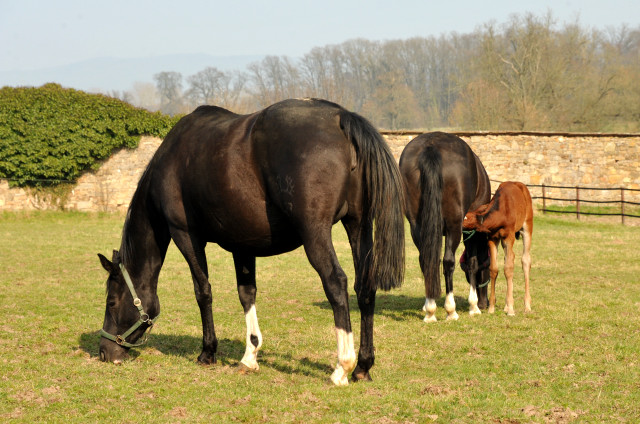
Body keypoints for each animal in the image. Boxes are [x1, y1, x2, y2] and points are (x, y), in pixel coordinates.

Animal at [97, 98, 402, 384]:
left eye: (111, 302)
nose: (103, 352)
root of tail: (341, 117)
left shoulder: (185, 235)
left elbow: (203, 291)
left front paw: (207, 352)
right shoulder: (242, 244)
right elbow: (247, 293)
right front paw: (250, 355)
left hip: (315, 233)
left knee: (336, 283)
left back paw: (343, 367)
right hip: (358, 226)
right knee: (365, 287)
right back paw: (363, 365)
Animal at [400, 132, 490, 322]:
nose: (484, 303)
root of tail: (431, 146)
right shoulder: (470, 230)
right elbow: (472, 262)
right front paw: (473, 306)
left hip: (417, 226)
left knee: (427, 260)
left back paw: (430, 310)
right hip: (453, 227)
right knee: (448, 261)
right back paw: (451, 310)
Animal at [462, 181, 532, 316]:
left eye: (466, 220)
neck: (501, 212)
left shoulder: (509, 237)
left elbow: (508, 268)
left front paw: (511, 309)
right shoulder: (492, 239)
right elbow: (494, 269)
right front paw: (491, 308)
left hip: (527, 227)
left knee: (525, 260)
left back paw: (527, 306)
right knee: (508, 259)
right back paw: (505, 306)